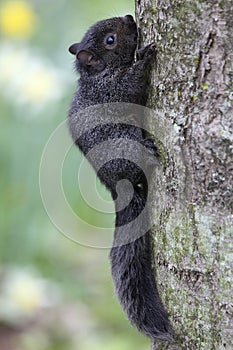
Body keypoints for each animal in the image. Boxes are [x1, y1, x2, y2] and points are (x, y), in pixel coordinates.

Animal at [67, 15, 171, 340]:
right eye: (110, 40)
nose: (128, 17)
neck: (99, 74)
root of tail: (116, 187)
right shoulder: (113, 89)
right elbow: (132, 83)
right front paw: (145, 56)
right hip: (126, 147)